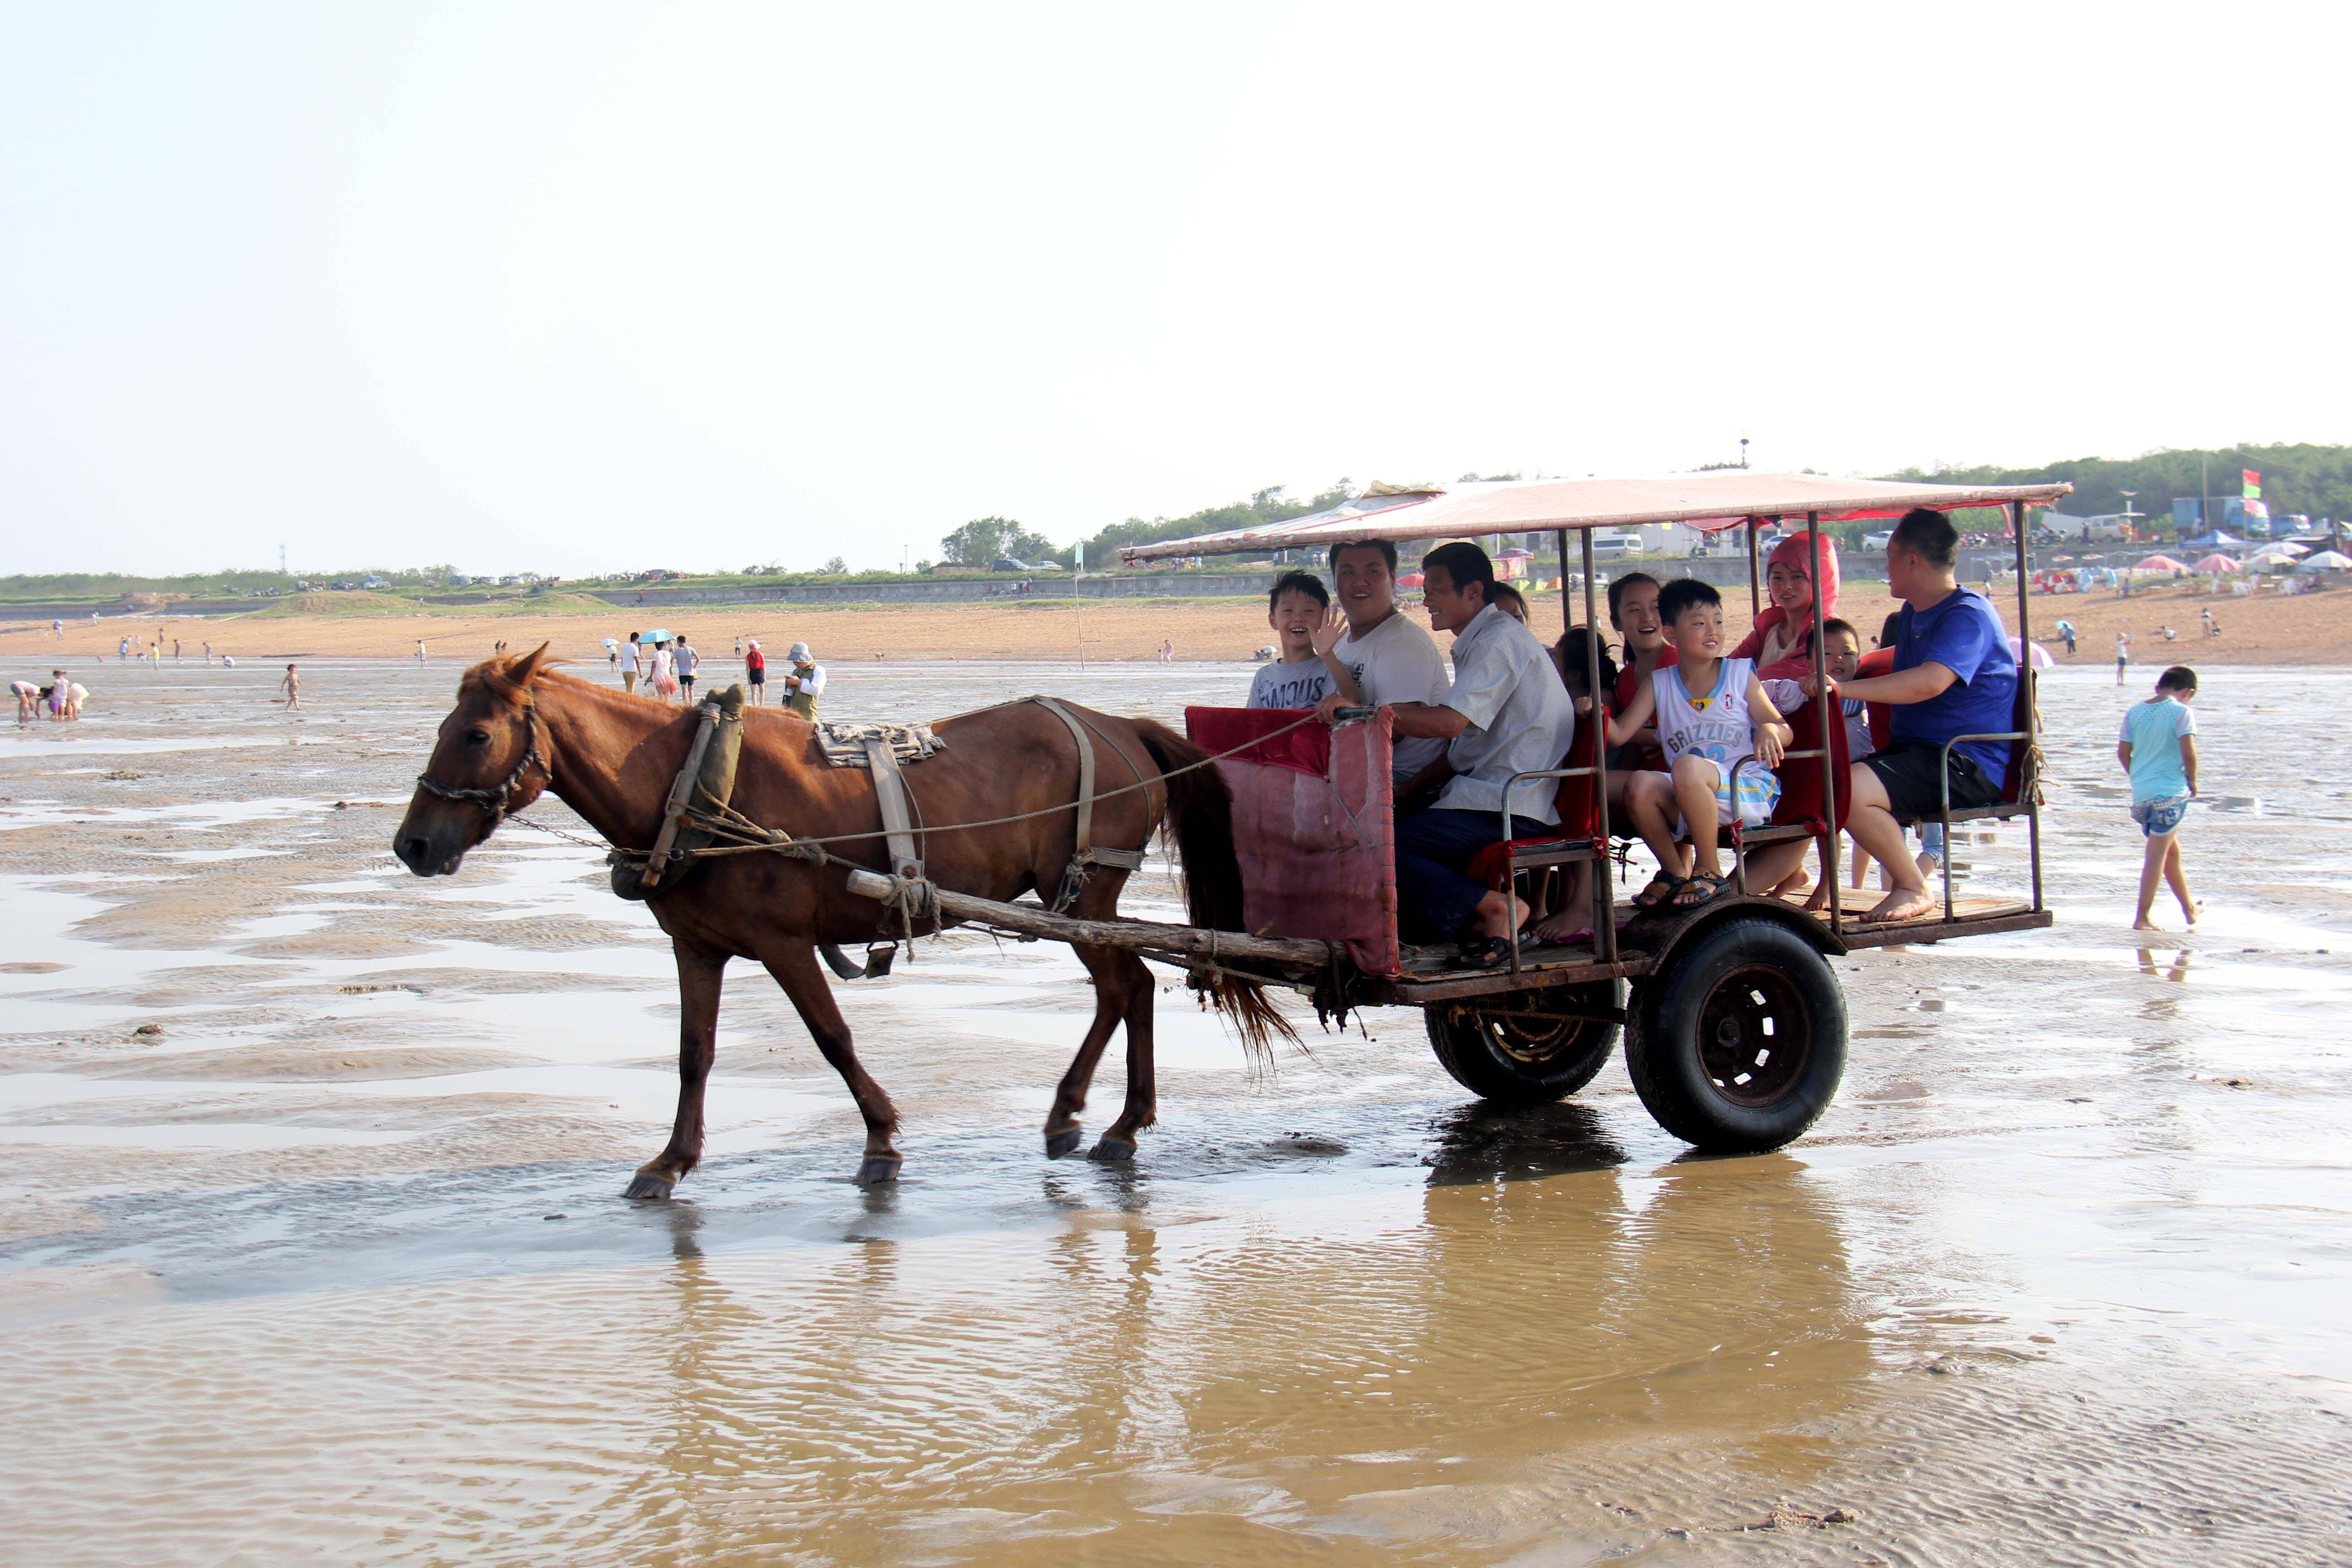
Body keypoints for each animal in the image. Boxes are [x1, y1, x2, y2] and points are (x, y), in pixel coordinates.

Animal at [400, 644, 1270, 1194]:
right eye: (441, 727)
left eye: (476, 733)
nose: (412, 844)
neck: (696, 787)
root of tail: (1120, 728)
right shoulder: (697, 948)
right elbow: (693, 1056)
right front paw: (670, 1161)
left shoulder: (785, 944)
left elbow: (832, 1039)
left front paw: (880, 1141)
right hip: (1081, 902)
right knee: (1126, 990)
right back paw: (1089, 1118)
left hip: (1087, 895)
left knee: (1128, 986)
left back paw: (1116, 1122)